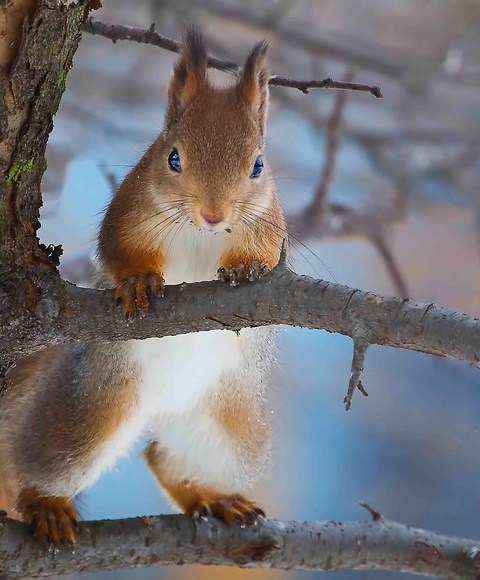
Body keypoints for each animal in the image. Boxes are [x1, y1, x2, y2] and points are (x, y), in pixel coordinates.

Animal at [0, 27, 284, 544]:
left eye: (257, 166)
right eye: (172, 157)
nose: (214, 214)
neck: (200, 234)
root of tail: (160, 405)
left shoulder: (271, 223)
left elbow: (269, 255)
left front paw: (247, 267)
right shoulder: (129, 213)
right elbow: (120, 252)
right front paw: (137, 283)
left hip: (225, 429)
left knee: (162, 455)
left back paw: (213, 498)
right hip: (90, 411)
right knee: (32, 460)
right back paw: (44, 504)